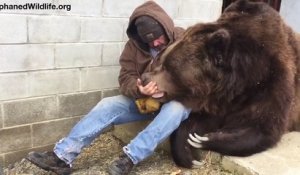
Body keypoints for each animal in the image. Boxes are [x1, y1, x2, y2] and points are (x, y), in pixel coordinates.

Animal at [142, 0, 300, 168]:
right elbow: (195, 122)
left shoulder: (272, 83)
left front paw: (205, 139)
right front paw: (189, 155)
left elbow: (262, 127)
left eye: (168, 67)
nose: (145, 77)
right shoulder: (217, 100)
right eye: (162, 59)